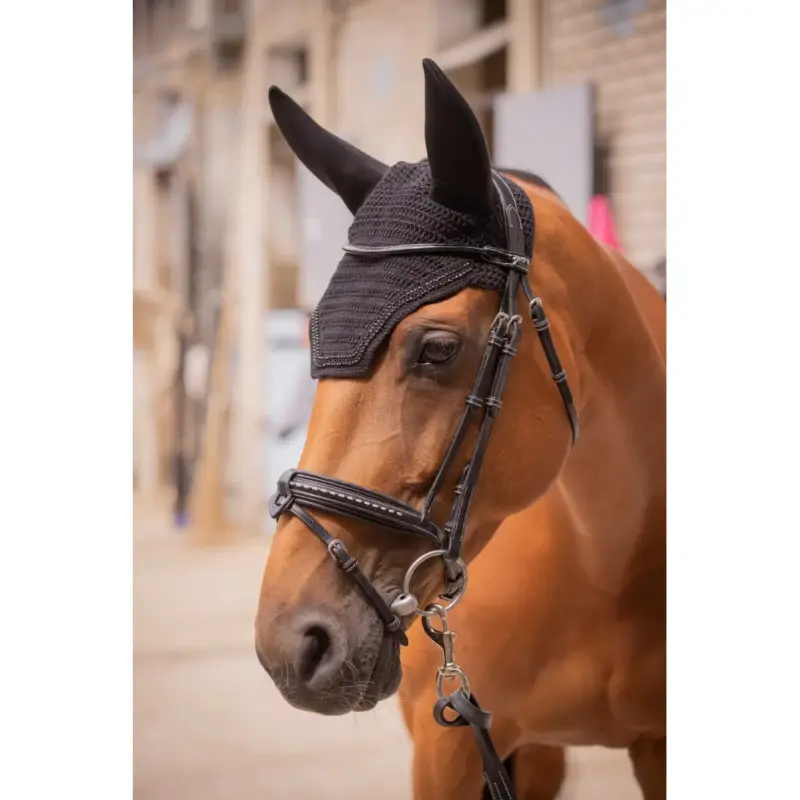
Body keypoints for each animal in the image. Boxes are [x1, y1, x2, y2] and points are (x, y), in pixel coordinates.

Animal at [255, 58, 665, 800]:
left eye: (438, 348)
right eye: (313, 335)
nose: (292, 644)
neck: (607, 561)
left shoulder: (659, 745)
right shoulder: (446, 746)